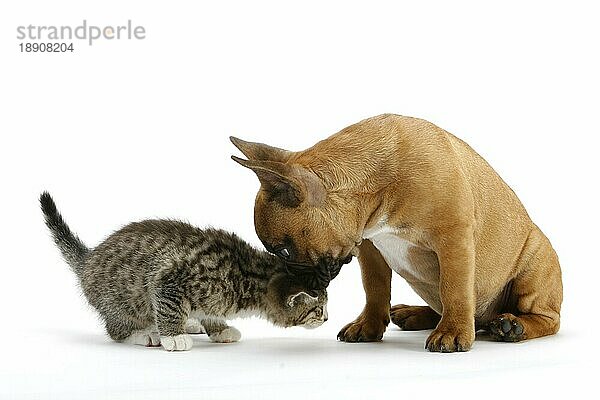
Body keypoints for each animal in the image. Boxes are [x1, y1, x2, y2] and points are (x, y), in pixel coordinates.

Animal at [41, 192, 328, 352]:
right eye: (318, 309)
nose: (326, 319)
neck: (248, 274)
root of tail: (89, 258)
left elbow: (211, 312)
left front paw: (219, 328)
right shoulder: (169, 280)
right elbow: (168, 303)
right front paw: (174, 337)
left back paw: (189, 322)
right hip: (122, 300)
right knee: (116, 328)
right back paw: (146, 333)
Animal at [231, 114, 564, 352]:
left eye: (284, 250)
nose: (290, 279)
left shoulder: (453, 238)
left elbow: (455, 289)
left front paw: (453, 331)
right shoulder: (370, 248)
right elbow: (375, 288)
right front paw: (368, 325)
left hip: (536, 263)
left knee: (548, 319)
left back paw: (512, 326)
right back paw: (414, 313)